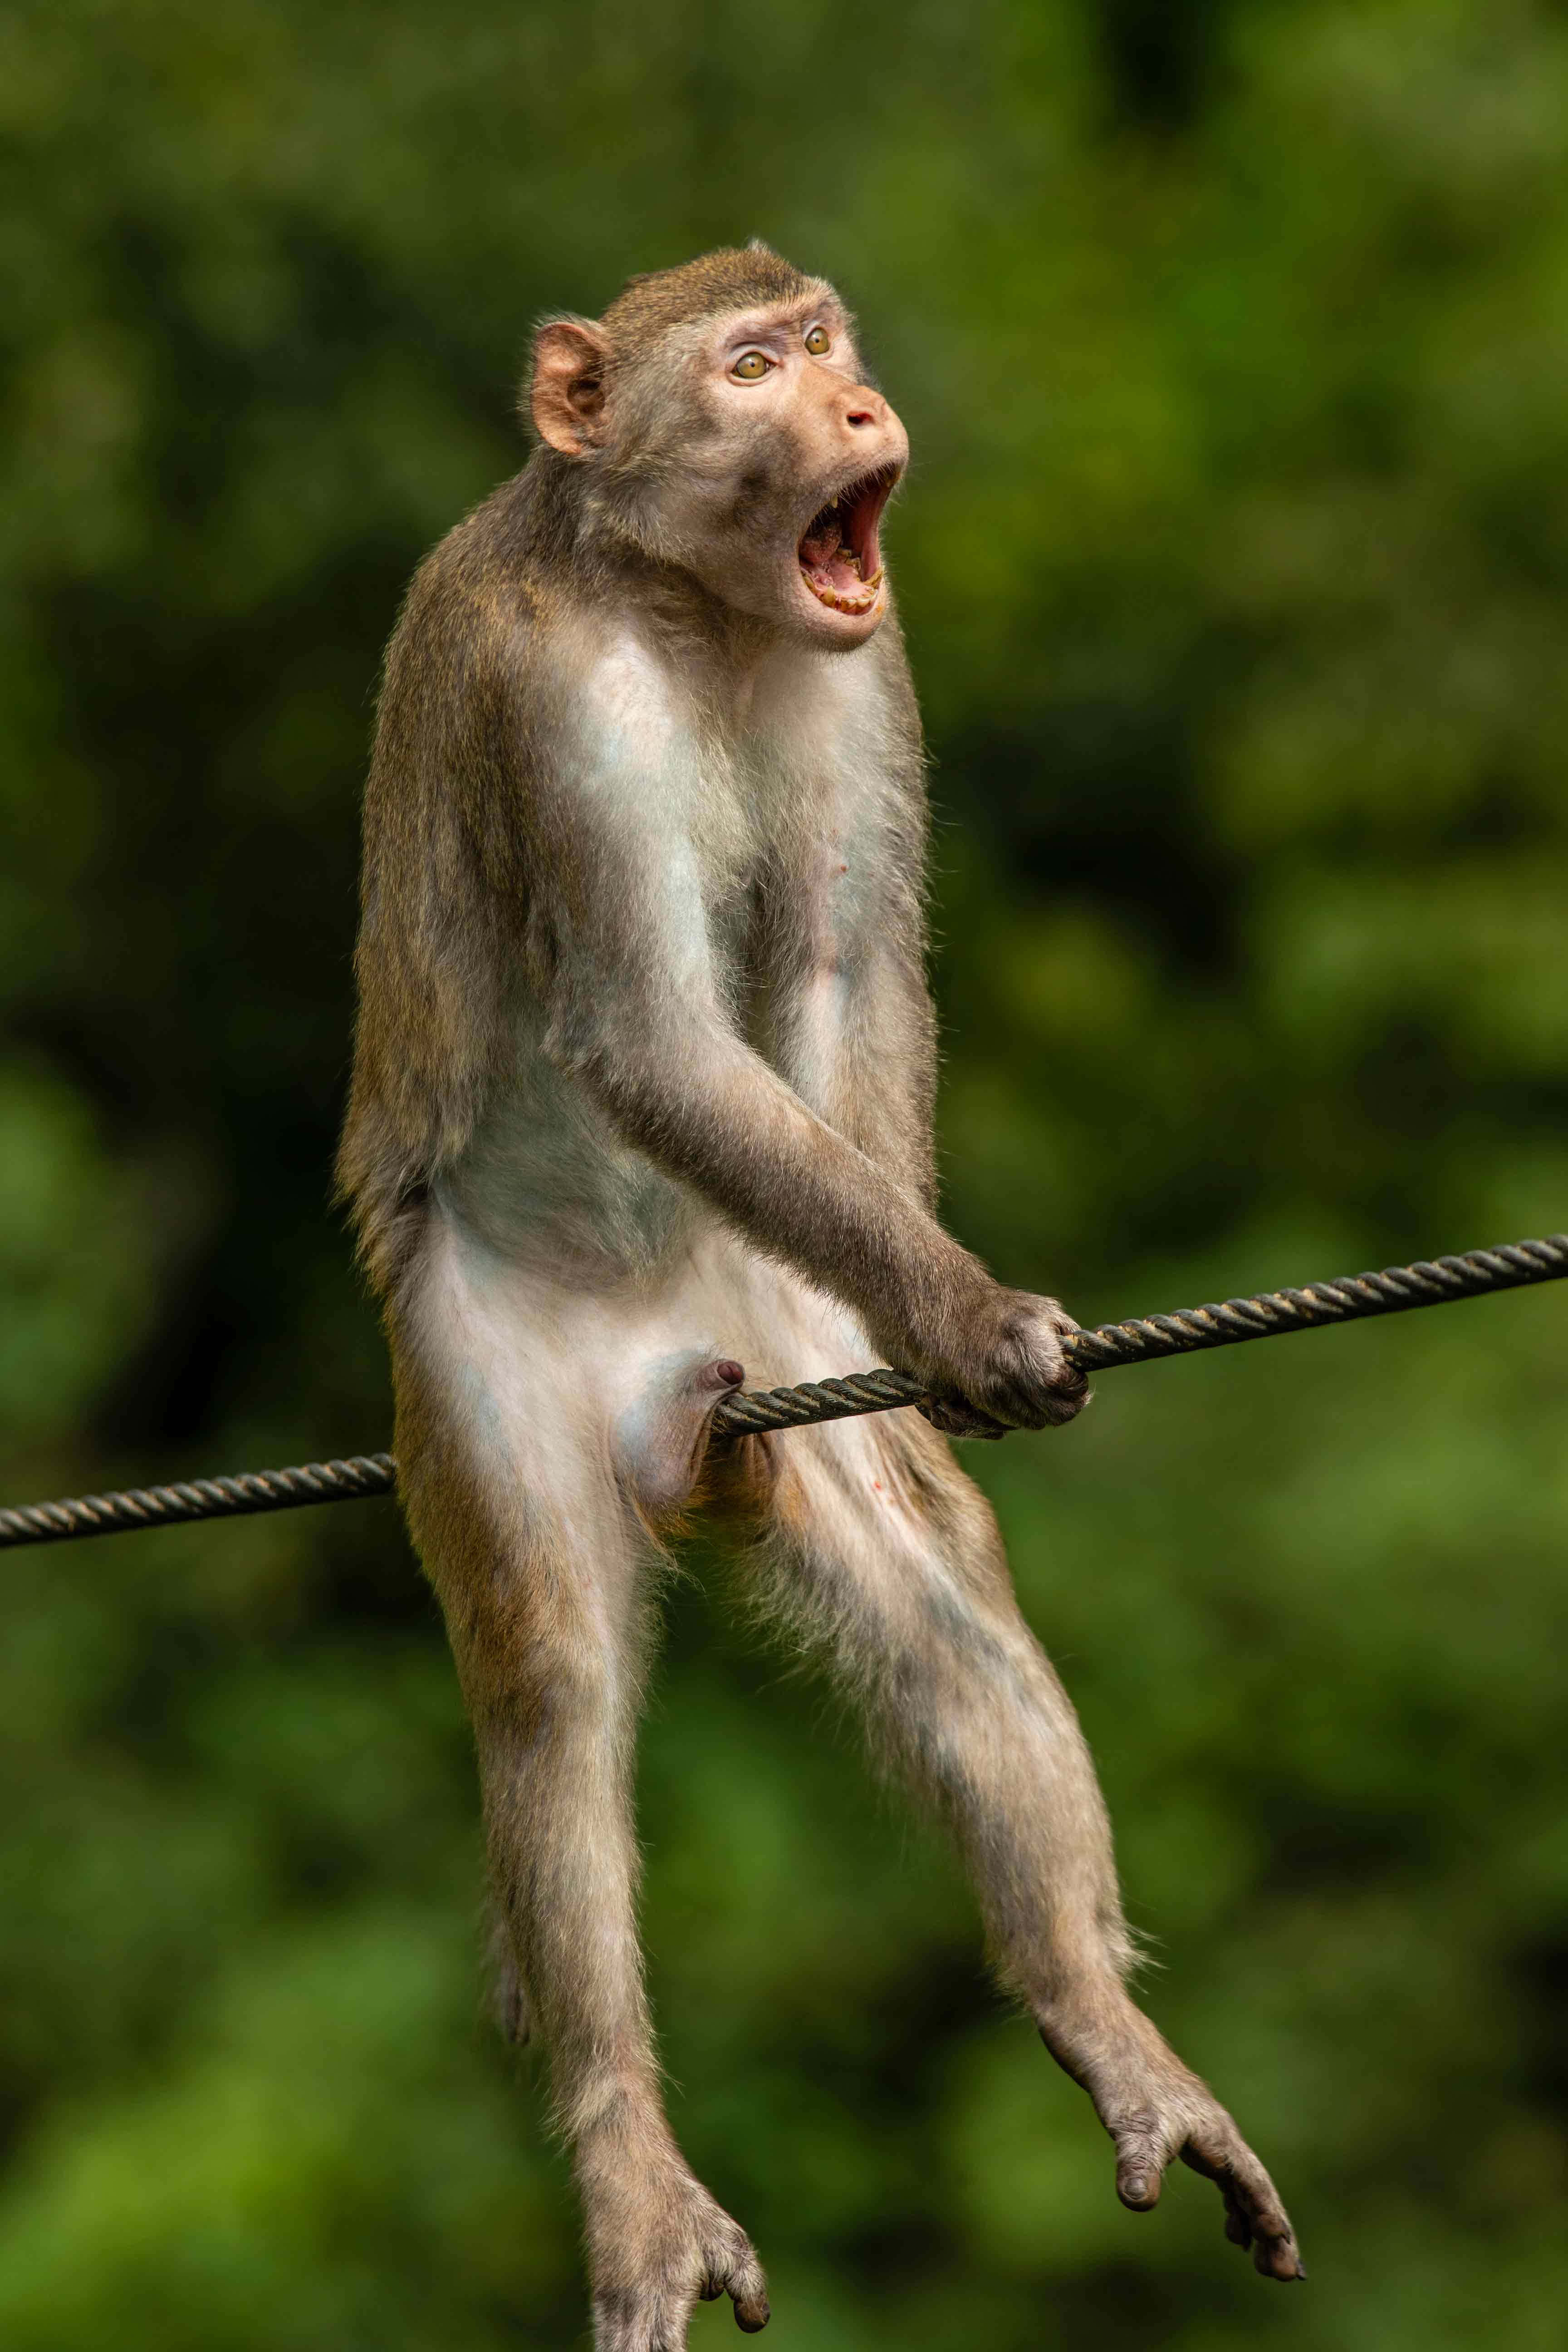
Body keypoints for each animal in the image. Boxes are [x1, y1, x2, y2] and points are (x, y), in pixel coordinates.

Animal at [337, 242, 1305, 2349]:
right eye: (753, 366)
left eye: (827, 343)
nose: (856, 411)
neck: (687, 606)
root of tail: (662, 1388)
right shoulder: (554, 694)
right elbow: (645, 1035)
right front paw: (971, 1320)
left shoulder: (869, 666)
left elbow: (851, 969)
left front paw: (935, 1334)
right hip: (475, 1360)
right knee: (549, 1672)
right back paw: (629, 2162)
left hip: (765, 1318)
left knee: (929, 1587)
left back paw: (1097, 2020)